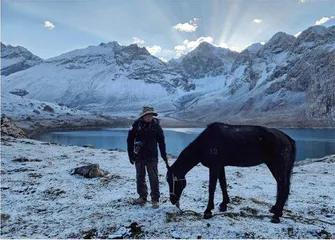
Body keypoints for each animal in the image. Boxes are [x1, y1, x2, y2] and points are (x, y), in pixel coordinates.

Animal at [166, 123, 296, 224]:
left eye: (172, 180)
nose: (172, 200)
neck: (204, 143)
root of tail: (287, 138)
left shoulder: (214, 166)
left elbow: (212, 187)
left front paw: (208, 211)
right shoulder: (220, 166)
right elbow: (223, 183)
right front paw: (224, 204)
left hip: (277, 166)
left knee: (283, 187)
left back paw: (277, 215)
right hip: (274, 166)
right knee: (281, 186)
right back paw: (275, 209)